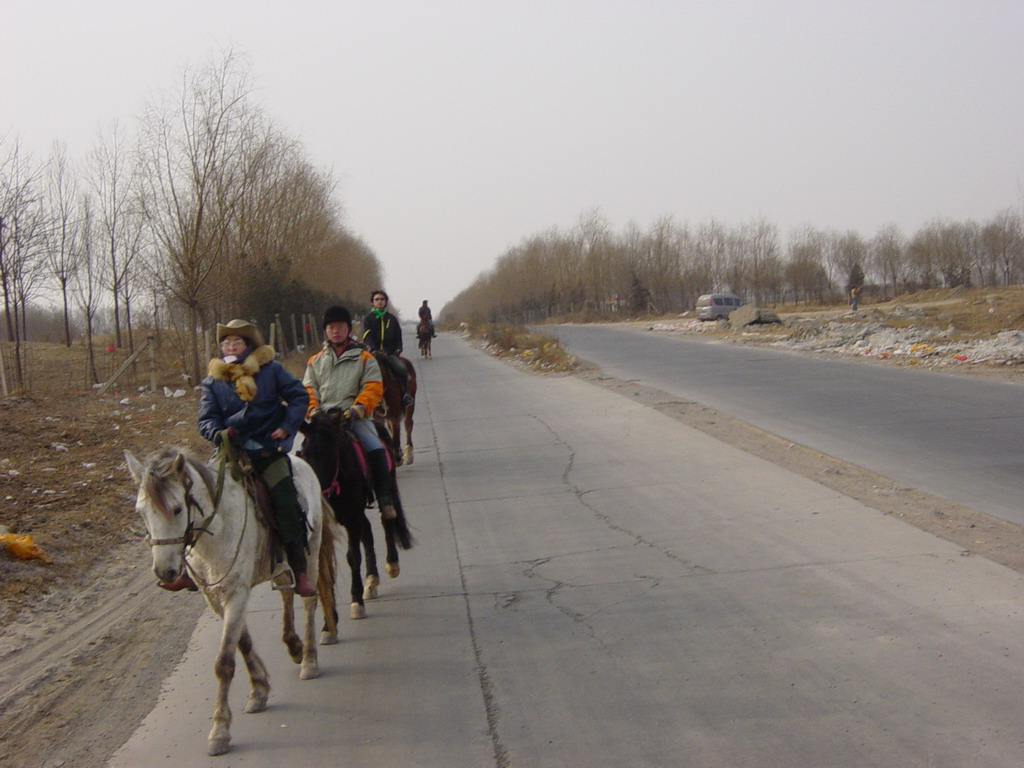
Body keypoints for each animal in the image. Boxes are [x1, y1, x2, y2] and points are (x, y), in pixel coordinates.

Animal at [124, 448, 335, 753]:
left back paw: (308, 659)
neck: (217, 529)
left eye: (177, 509)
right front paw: (258, 689)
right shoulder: (215, 597)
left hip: (311, 550)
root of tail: (300, 461)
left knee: (309, 600)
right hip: (279, 565)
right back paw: (293, 645)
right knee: (286, 593)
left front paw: (220, 730)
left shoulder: (236, 593)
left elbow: (224, 662)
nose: (165, 572)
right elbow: (242, 642)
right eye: (141, 513)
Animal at [296, 411, 411, 622]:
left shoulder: (352, 519)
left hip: (385, 488)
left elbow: (353, 557)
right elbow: (326, 566)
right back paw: (371, 580)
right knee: (368, 531)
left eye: (332, 454)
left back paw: (391, 564)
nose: (316, 494)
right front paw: (329, 620)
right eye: (304, 453)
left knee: (386, 519)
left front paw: (356, 602)